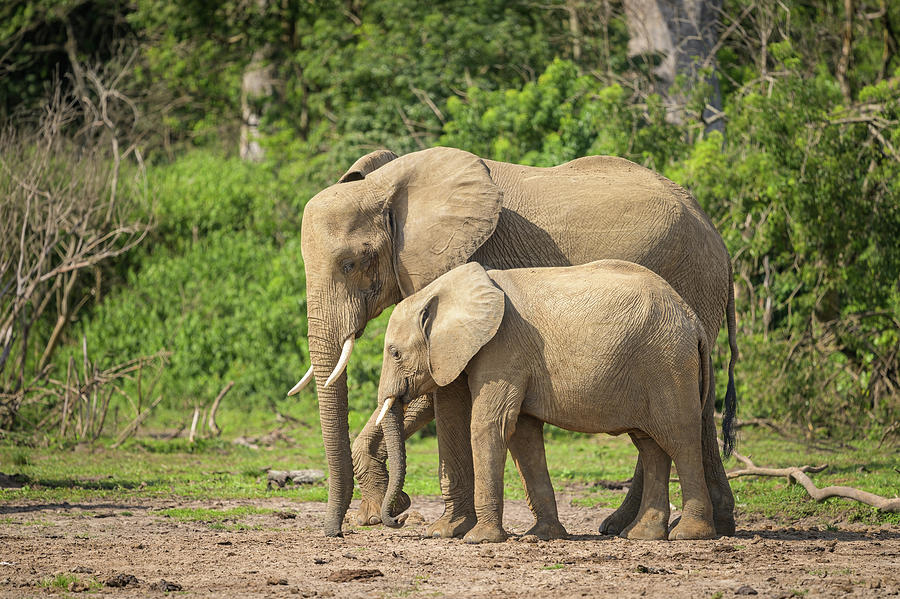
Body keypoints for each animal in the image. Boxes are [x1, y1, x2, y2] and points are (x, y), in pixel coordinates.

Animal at [376, 262, 712, 544]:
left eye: (395, 353)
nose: (401, 517)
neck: (442, 291)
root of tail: (693, 319)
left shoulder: (503, 348)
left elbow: (492, 424)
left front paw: (479, 539)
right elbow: (523, 437)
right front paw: (543, 535)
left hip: (667, 364)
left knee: (681, 440)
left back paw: (689, 534)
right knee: (650, 445)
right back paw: (643, 536)